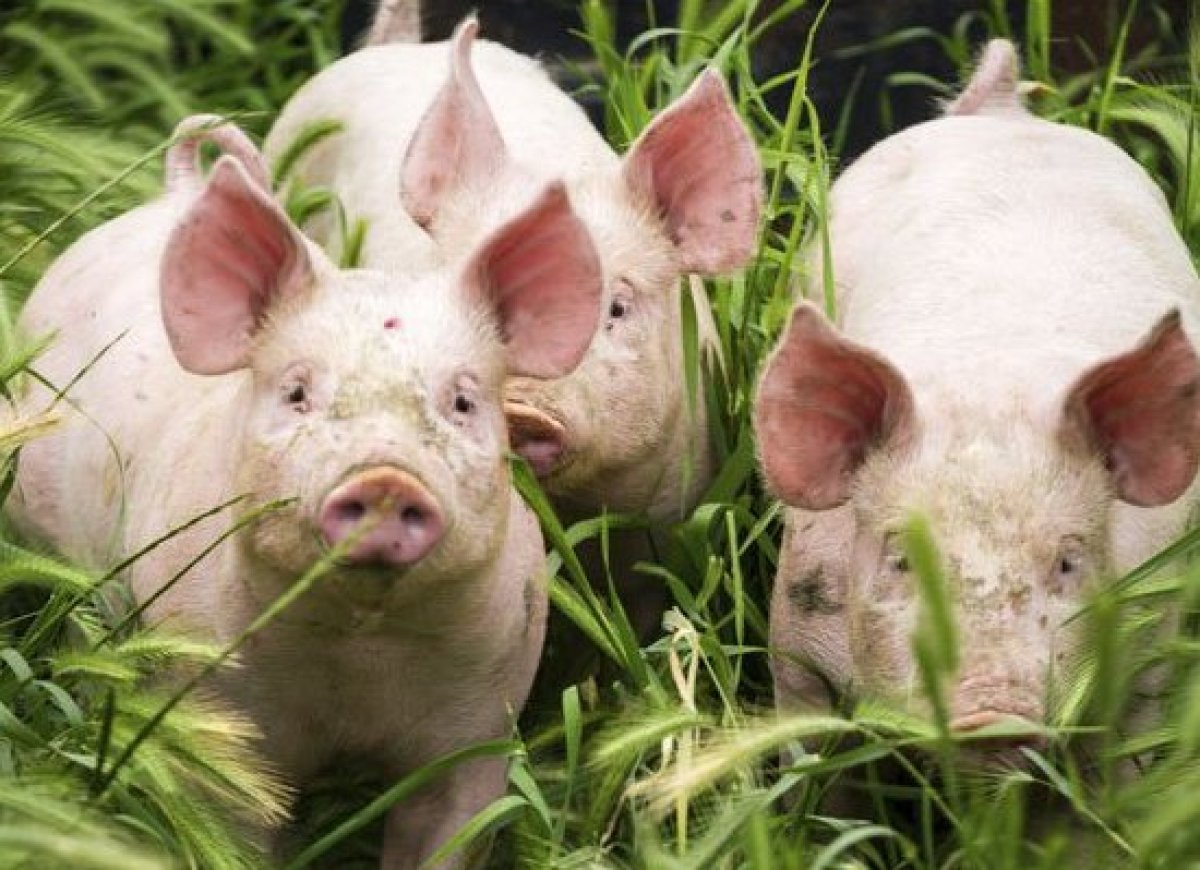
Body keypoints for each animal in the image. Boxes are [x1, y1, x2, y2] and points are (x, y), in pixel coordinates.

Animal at [9, 116, 603, 867]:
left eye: (462, 401)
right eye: (297, 392)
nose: (385, 478)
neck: (359, 652)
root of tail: (178, 192)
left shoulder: (480, 721)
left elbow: (447, 831)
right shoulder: (212, 705)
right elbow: (234, 827)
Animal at [756, 40, 1200, 755]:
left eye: (1068, 562)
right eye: (901, 559)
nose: (992, 715)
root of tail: (1004, 112)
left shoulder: (1153, 644)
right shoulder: (798, 631)